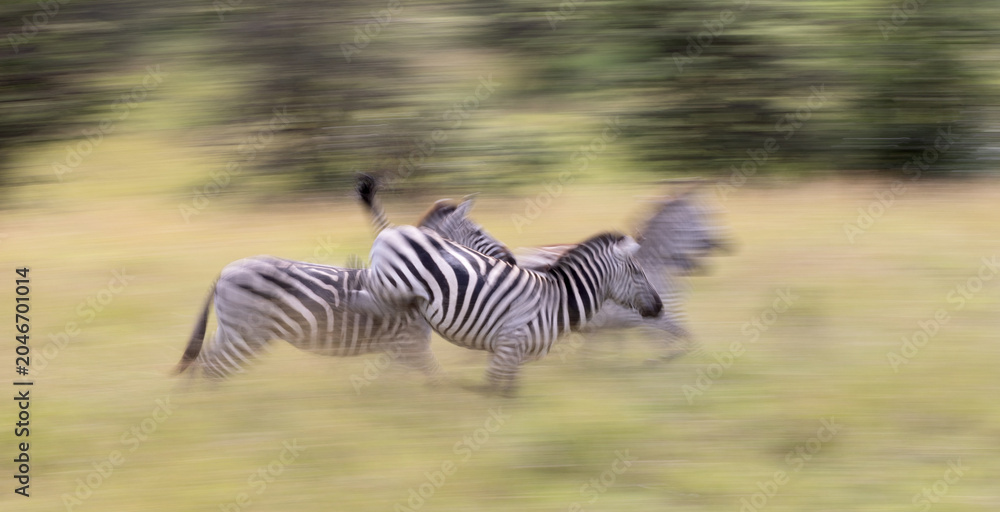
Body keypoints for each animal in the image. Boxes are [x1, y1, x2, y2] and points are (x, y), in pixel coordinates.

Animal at [360, 225, 663, 394]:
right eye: (638, 272)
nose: (659, 308)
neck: (556, 302)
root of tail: (394, 231)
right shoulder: (509, 345)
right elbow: (497, 391)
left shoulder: (511, 354)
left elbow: (507, 390)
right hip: (390, 286)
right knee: (366, 296)